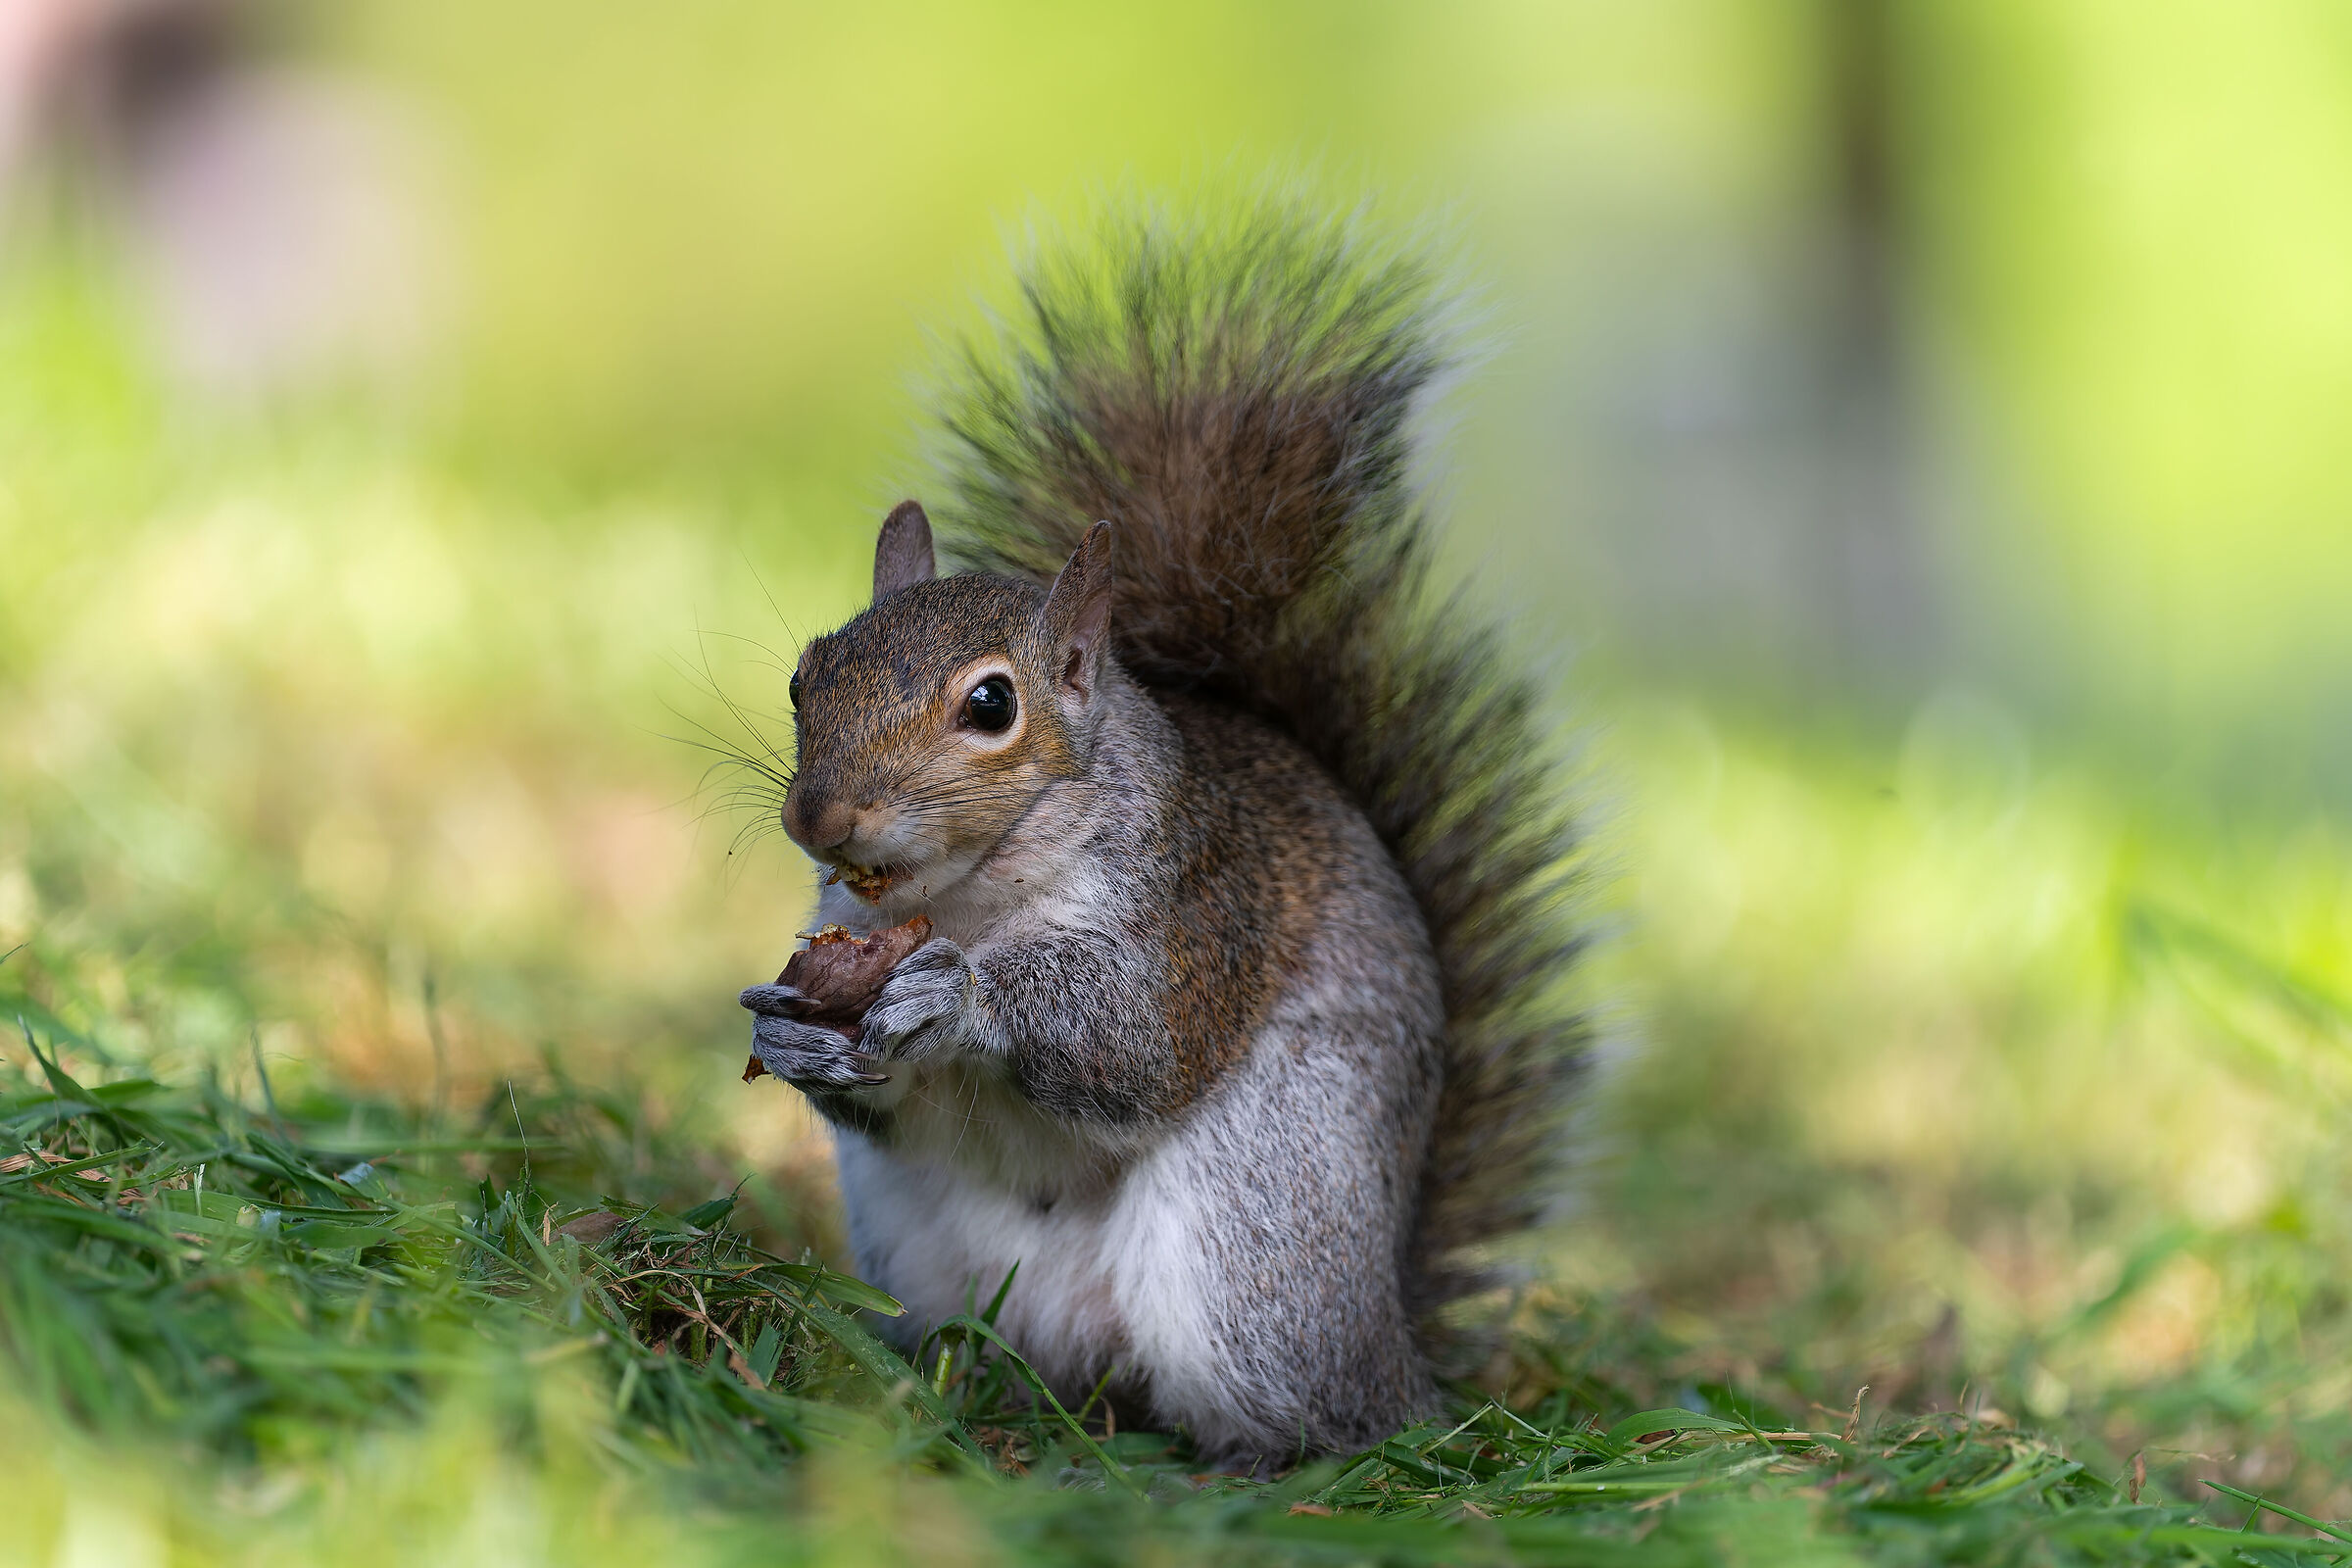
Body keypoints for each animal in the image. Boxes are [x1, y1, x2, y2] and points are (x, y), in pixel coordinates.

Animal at [738, 198, 1588, 1468]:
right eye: (806, 675)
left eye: (991, 704)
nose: (818, 815)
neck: (971, 890)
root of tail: (1401, 1352)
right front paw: (792, 1033)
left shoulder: (1199, 903)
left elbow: (1137, 1040)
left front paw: (960, 992)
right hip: (917, 1246)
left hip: (1261, 1225)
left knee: (1315, 1414)